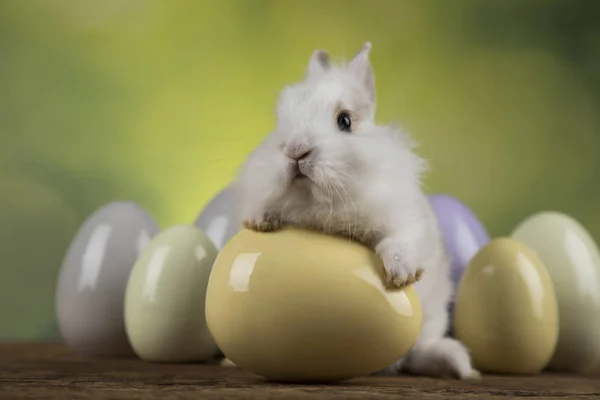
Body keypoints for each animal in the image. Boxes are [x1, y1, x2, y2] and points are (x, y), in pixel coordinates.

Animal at [233, 42, 478, 380]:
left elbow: (398, 242)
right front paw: (258, 221)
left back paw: (455, 365)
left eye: (345, 121)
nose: (295, 151)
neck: (321, 203)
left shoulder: (406, 223)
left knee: (417, 353)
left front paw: (400, 274)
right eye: (280, 122)